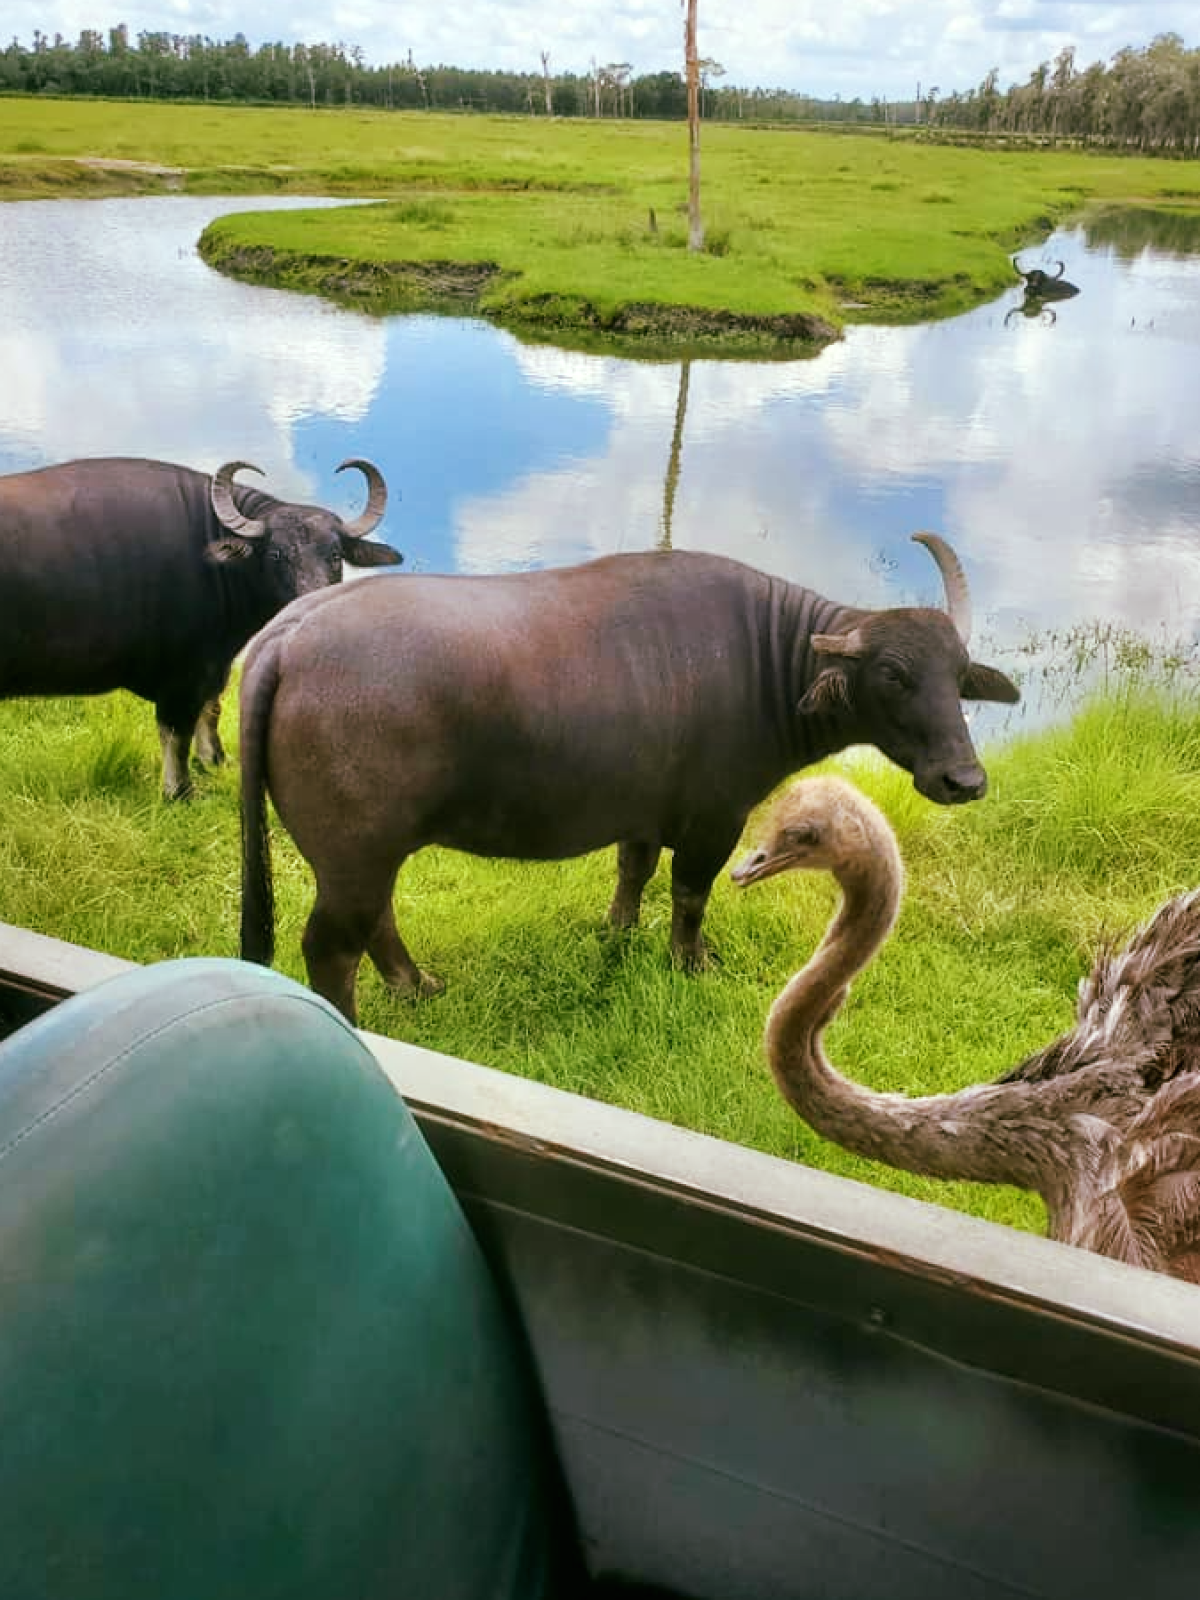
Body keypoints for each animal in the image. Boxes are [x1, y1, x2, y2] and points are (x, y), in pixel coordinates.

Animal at [0, 456, 403, 798]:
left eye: (335, 555)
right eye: (275, 554)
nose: (313, 603)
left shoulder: (213, 664)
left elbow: (211, 710)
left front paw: (215, 760)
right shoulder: (181, 675)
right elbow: (175, 732)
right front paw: (179, 792)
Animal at [238, 533, 1020, 1023]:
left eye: (957, 675)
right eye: (893, 675)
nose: (962, 778)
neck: (767, 662)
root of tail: (286, 637)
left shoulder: (642, 813)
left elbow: (633, 872)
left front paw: (617, 933)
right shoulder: (716, 819)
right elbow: (691, 894)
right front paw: (691, 961)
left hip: (367, 855)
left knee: (379, 920)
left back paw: (417, 985)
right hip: (355, 855)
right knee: (332, 946)